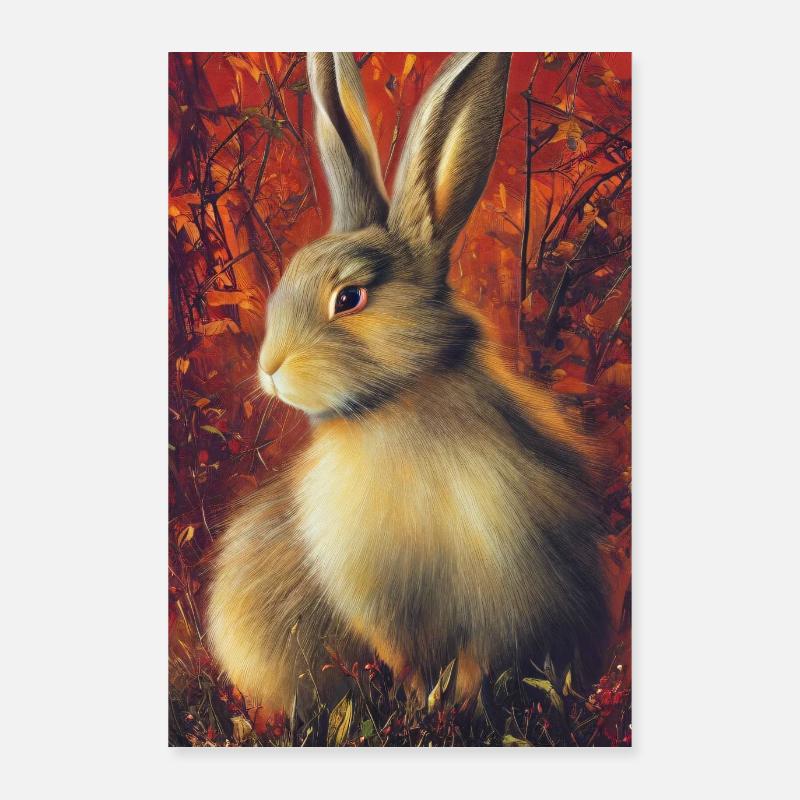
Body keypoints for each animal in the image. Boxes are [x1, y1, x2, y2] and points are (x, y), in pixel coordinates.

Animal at [207, 52, 610, 714]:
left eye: (350, 298)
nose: (270, 368)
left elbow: (475, 659)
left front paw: (457, 708)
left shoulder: (499, 594)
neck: (390, 411)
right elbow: (403, 659)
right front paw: (424, 705)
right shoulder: (377, 607)